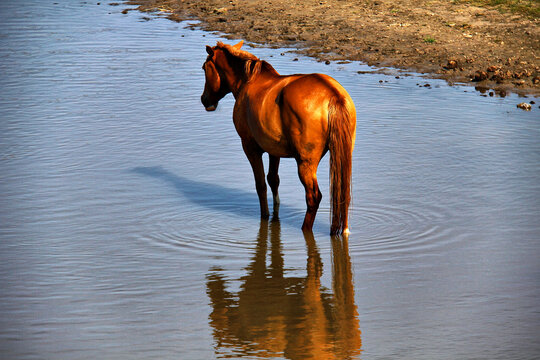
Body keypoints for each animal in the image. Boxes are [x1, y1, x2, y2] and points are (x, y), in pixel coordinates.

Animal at [200, 40, 356, 235]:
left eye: (204, 68)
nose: (204, 100)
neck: (248, 81)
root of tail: (333, 95)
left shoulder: (250, 147)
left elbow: (261, 185)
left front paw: (265, 217)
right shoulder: (273, 150)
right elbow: (273, 180)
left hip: (305, 163)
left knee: (313, 197)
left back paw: (306, 229)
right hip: (342, 154)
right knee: (343, 192)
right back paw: (343, 230)